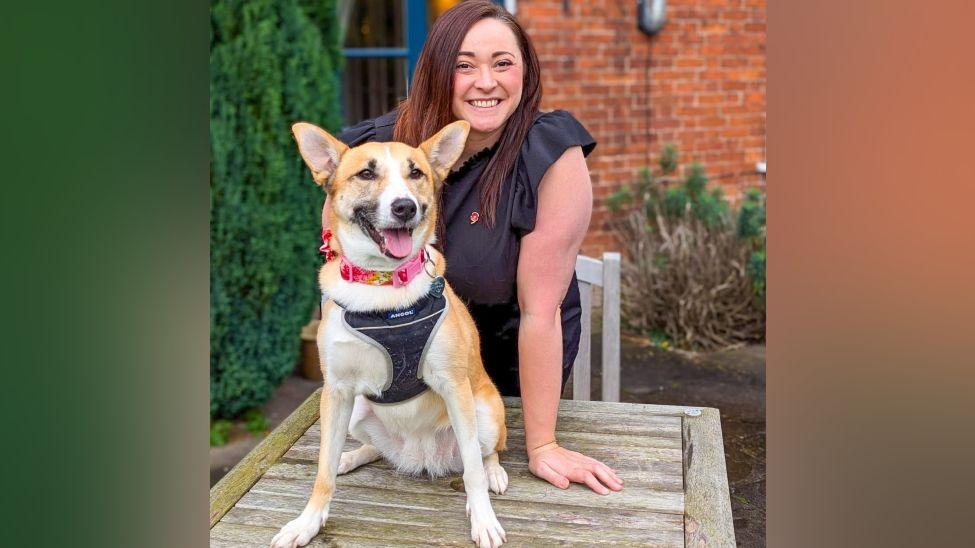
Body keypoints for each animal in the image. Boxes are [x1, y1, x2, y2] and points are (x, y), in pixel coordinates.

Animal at [270, 121, 508, 548]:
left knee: (483, 454)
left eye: (416, 173)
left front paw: (483, 519)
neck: (383, 287)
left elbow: (472, 471)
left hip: (484, 411)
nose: (405, 207)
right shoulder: (337, 391)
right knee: (373, 450)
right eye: (366, 173)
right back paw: (351, 456)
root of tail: (419, 456)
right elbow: (322, 472)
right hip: (356, 413)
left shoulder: (454, 386)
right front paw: (307, 522)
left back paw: (494, 471)